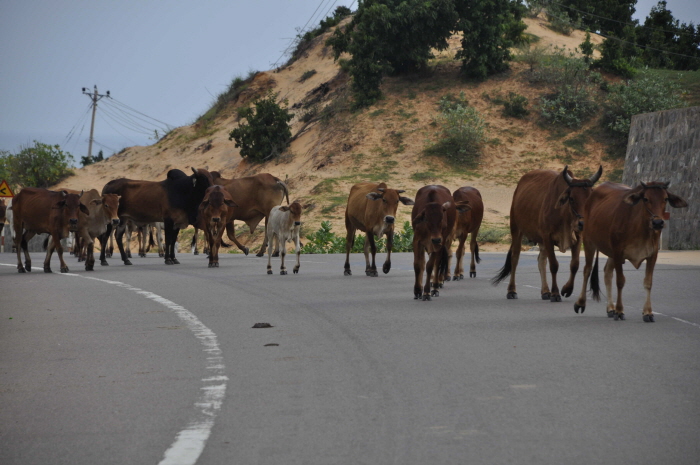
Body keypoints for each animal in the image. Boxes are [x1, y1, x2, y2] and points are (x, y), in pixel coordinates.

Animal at [492, 166, 600, 300]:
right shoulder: (548, 236)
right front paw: (555, 293)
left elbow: (574, 265)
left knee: (541, 260)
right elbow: (554, 265)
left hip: (540, 239)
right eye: (572, 198)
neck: (564, 215)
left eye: (590, 199)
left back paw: (545, 291)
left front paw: (567, 289)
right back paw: (512, 291)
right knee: (515, 258)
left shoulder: (577, 238)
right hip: (516, 229)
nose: (582, 224)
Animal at [576, 179, 688, 320]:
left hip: (610, 252)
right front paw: (620, 310)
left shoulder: (652, 255)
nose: (658, 223)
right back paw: (581, 303)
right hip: (589, 242)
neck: (640, 229)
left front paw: (648, 312)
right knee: (587, 270)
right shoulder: (618, 253)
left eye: (665, 198)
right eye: (645, 198)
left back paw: (610, 308)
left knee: (607, 272)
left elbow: (648, 282)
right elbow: (620, 281)